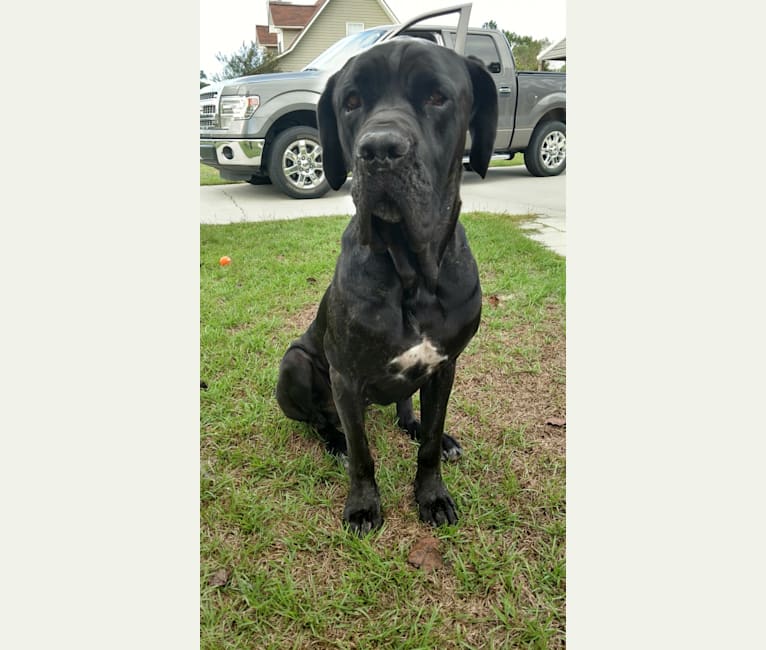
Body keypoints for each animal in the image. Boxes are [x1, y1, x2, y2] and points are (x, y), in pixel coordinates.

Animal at [280, 38, 500, 532]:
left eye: (437, 96)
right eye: (351, 102)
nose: (379, 148)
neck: (412, 275)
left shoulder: (444, 365)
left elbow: (430, 443)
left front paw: (432, 494)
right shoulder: (344, 376)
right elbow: (363, 454)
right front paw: (363, 504)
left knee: (405, 410)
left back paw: (416, 427)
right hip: (295, 363)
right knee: (323, 421)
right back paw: (335, 442)